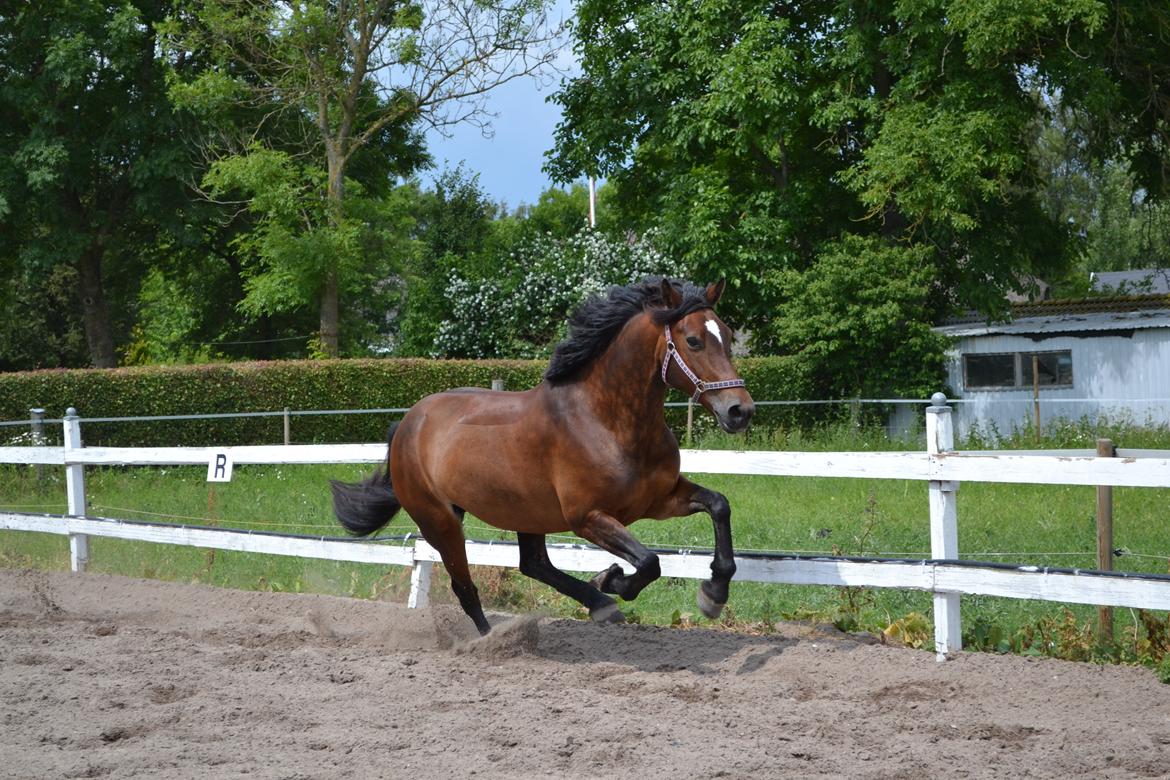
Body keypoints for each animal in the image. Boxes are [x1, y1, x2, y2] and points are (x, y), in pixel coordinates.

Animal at [332, 279, 748, 636]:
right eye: (693, 340)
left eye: (728, 336)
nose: (740, 410)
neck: (607, 422)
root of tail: (408, 423)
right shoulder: (588, 517)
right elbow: (649, 562)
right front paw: (612, 579)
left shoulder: (657, 500)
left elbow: (719, 505)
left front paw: (713, 594)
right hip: (440, 521)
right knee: (466, 587)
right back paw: (495, 639)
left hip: (524, 512)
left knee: (533, 564)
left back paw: (599, 604)